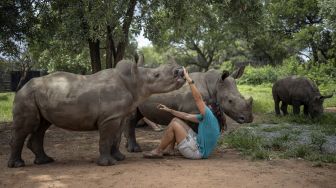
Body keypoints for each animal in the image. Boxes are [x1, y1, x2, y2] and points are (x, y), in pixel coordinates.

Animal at [8, 55, 186, 167]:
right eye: (156, 75)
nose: (180, 72)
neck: (134, 80)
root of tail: (22, 86)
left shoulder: (118, 115)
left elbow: (116, 137)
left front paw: (120, 158)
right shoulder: (109, 118)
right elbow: (106, 138)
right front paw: (108, 164)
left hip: (37, 95)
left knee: (42, 126)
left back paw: (46, 161)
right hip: (26, 95)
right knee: (26, 127)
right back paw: (18, 165)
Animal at [124, 65, 253, 151]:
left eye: (242, 96)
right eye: (230, 101)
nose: (248, 118)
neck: (214, 84)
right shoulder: (192, 111)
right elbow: (196, 129)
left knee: (137, 116)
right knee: (132, 118)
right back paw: (134, 149)